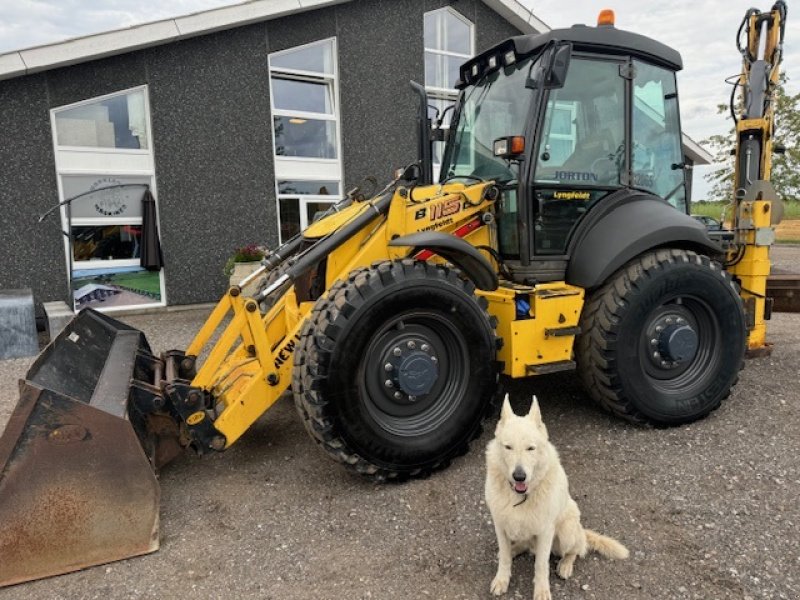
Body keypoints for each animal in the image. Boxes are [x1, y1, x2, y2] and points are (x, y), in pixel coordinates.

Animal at [484, 396, 628, 596]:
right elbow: (504, 558)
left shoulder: (545, 532)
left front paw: (542, 591)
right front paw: (502, 580)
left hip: (566, 533)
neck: (520, 497)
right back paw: (515, 549)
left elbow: (541, 565)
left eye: (530, 448)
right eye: (508, 447)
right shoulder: (501, 527)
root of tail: (581, 530)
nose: (519, 476)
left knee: (576, 551)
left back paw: (565, 565)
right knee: (525, 546)